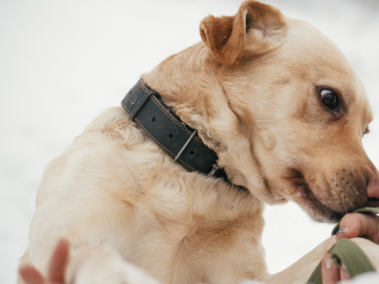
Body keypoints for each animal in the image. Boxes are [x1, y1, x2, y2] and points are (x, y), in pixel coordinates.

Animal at [17, 0, 379, 284]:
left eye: (365, 131)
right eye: (330, 98)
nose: (376, 195)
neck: (196, 178)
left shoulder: (246, 276)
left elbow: (349, 246)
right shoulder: (62, 241)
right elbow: (96, 257)